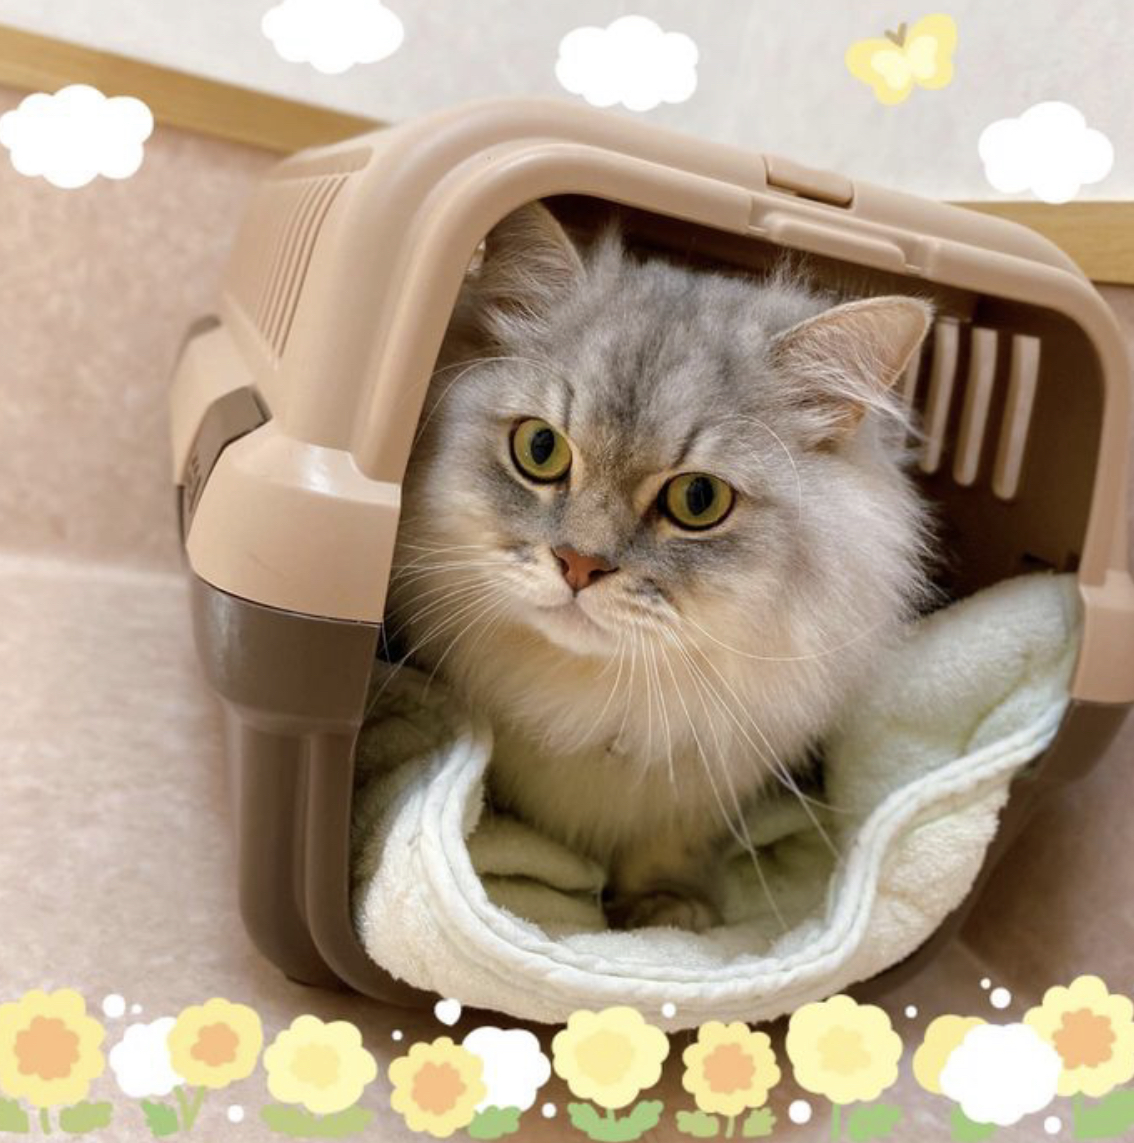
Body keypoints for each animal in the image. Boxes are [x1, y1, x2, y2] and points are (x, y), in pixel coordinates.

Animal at [384, 201, 933, 932]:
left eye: (698, 500)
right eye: (540, 449)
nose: (579, 563)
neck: (595, 698)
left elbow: (670, 845)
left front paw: (668, 912)